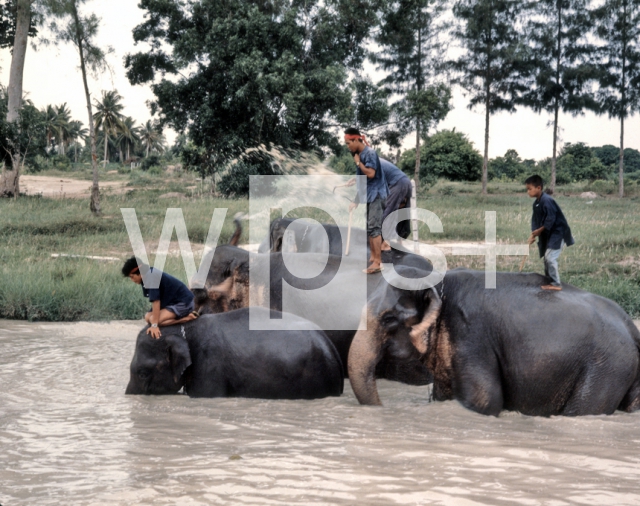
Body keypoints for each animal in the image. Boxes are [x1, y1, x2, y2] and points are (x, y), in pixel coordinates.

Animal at [348, 266, 640, 418]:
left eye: (388, 319)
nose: (383, 407)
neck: (439, 282)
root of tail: (631, 327)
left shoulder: (471, 334)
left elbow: (483, 400)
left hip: (607, 367)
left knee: (583, 411)